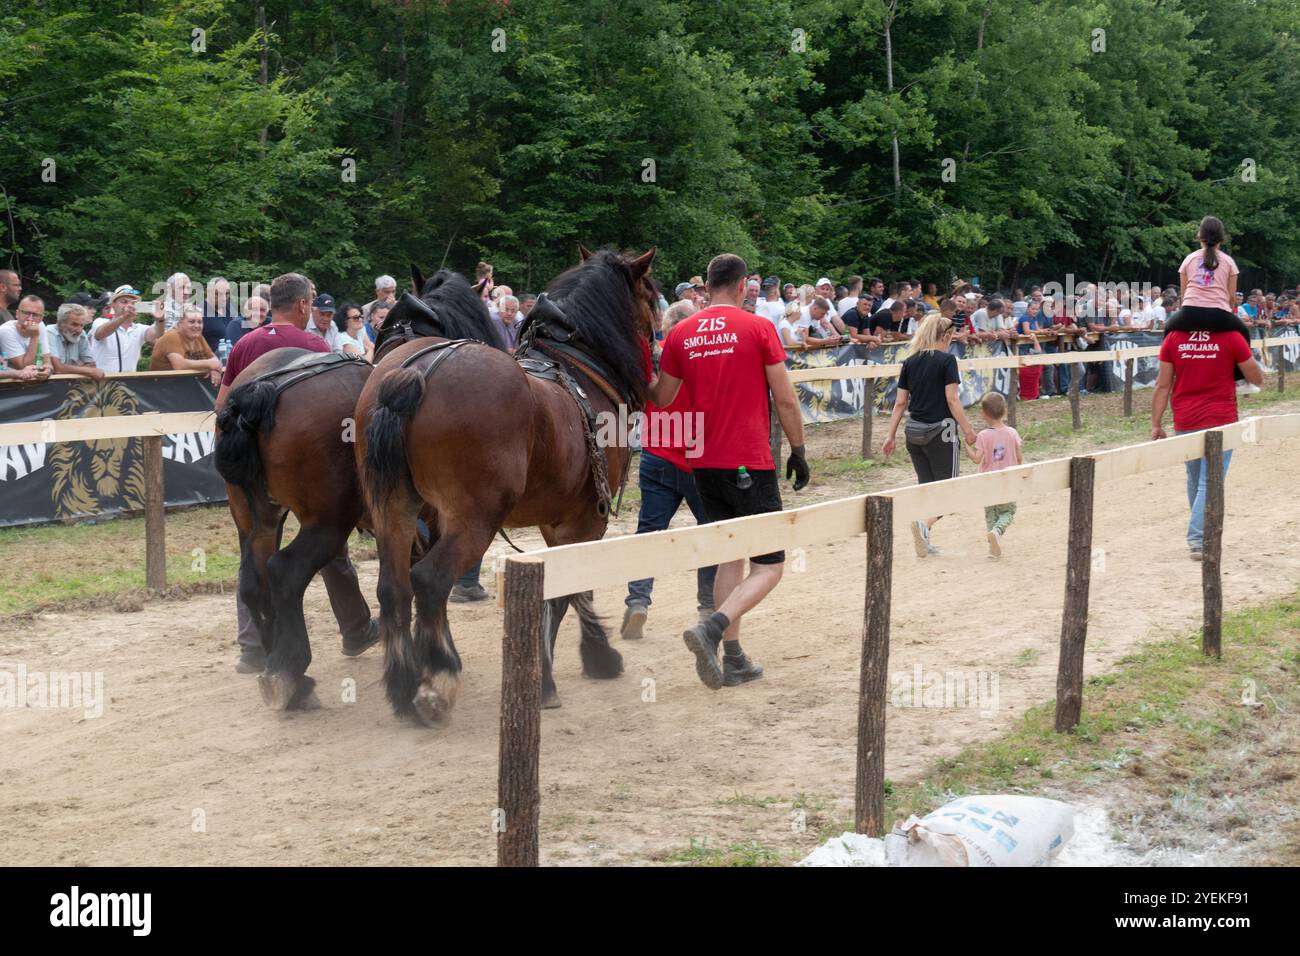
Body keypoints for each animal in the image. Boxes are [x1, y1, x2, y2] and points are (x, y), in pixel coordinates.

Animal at [213, 269, 501, 712]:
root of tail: (257, 393)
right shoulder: (436, 520)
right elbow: (422, 582)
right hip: (328, 522)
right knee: (285, 573)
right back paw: (291, 673)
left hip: (254, 517)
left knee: (253, 583)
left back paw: (273, 661)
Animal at [353, 247, 655, 723]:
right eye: (652, 297)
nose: (659, 336)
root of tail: (413, 373)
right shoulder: (586, 518)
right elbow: (570, 587)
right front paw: (577, 666)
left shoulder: (557, 518)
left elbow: (565, 587)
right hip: (474, 520)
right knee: (430, 582)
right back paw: (439, 679)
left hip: (394, 509)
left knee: (394, 587)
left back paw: (403, 684)